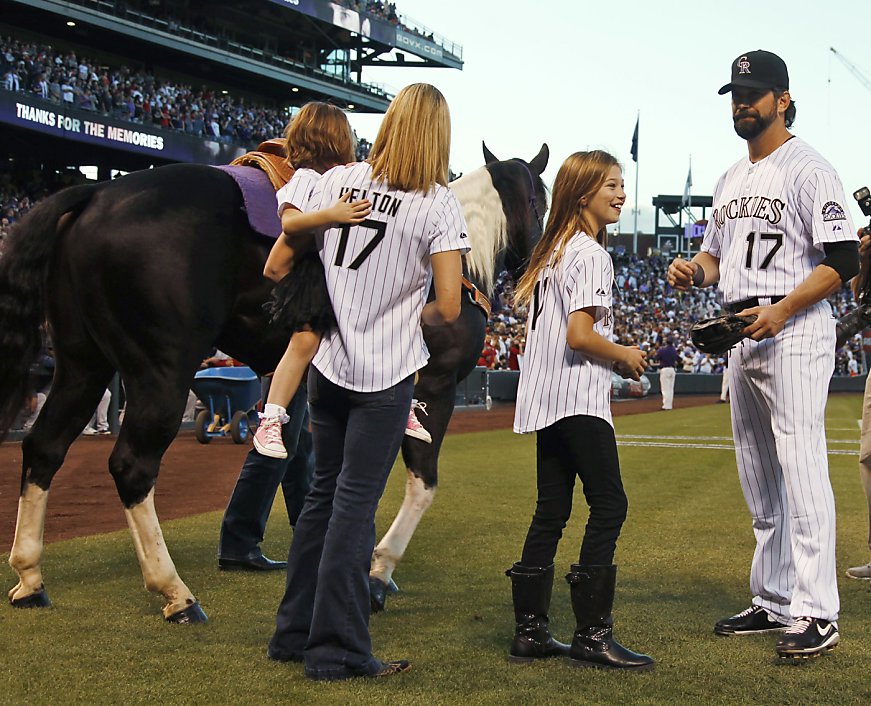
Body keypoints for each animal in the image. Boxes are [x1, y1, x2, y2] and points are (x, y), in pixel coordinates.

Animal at [0, 140, 544, 620]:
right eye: (540, 198)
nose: (534, 263)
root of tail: (96, 193)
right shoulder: (433, 386)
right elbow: (422, 483)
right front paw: (378, 570)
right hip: (161, 369)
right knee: (132, 465)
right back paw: (175, 592)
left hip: (83, 363)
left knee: (44, 447)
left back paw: (30, 576)